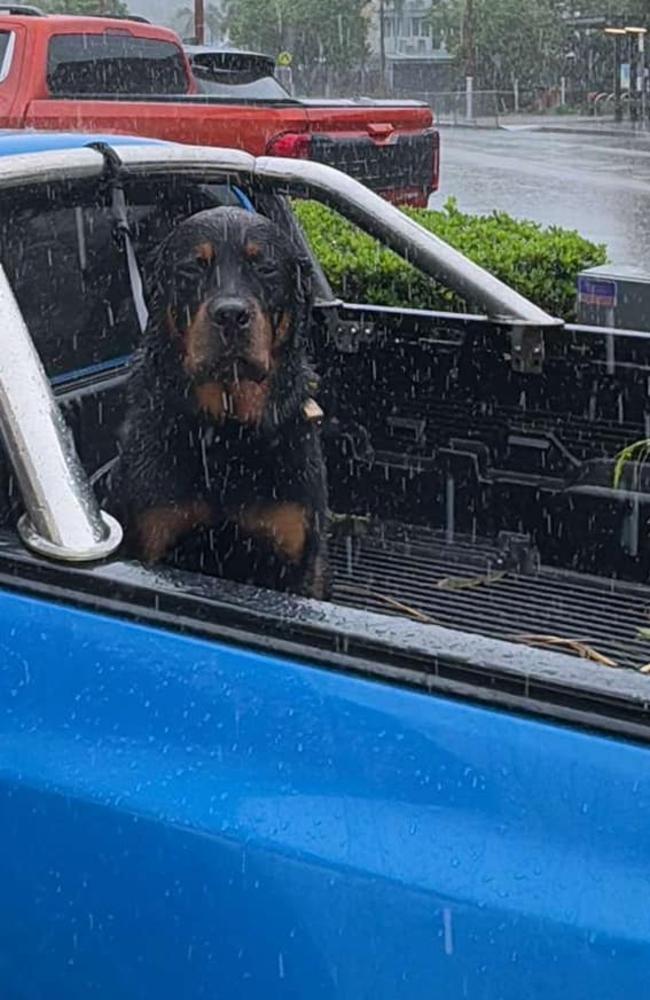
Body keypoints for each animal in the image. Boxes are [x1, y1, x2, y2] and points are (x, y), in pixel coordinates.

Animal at [108, 206, 330, 596]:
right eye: (193, 267)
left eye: (265, 267)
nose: (230, 314)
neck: (227, 433)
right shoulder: (155, 535)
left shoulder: (295, 555)